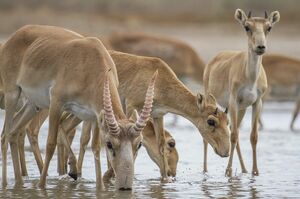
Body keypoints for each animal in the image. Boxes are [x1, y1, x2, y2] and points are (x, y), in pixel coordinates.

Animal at [0, 24, 157, 190]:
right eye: (109, 144)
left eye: (139, 144)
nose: (125, 187)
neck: (90, 64)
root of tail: (15, 35)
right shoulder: (56, 103)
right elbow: (50, 144)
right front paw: (42, 186)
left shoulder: (94, 115)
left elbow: (95, 147)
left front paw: (99, 187)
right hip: (12, 94)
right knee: (5, 135)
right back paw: (5, 184)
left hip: (33, 104)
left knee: (14, 132)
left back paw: (19, 183)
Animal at [203, 8, 280, 176]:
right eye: (247, 26)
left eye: (269, 27)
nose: (260, 47)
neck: (250, 78)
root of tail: (214, 58)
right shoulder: (233, 101)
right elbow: (232, 136)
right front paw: (228, 171)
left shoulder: (257, 103)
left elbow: (253, 136)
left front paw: (255, 172)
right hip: (212, 99)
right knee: (211, 136)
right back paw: (205, 170)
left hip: (242, 109)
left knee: (236, 131)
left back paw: (244, 170)